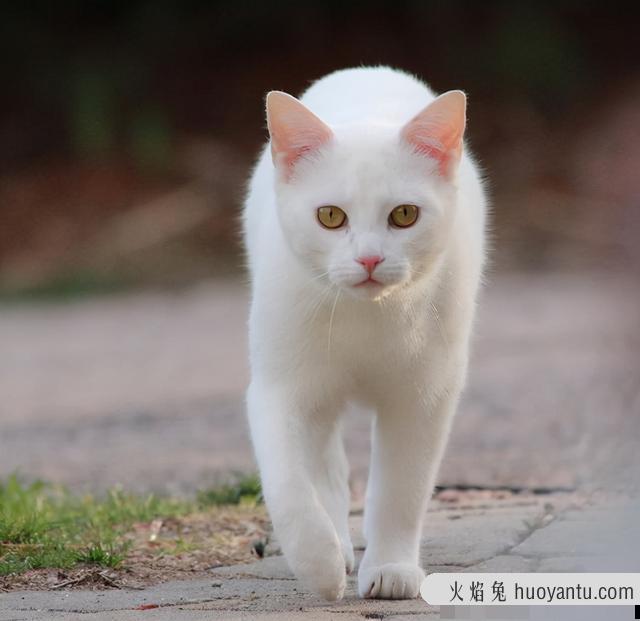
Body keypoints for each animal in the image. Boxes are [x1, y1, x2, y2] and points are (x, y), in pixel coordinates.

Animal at [242, 65, 488, 600]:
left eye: (405, 215)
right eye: (330, 216)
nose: (370, 259)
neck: (366, 318)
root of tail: (366, 71)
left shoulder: (426, 392)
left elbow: (402, 488)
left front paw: (392, 569)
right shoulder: (278, 387)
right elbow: (288, 485)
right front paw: (319, 564)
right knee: (325, 465)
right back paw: (335, 543)